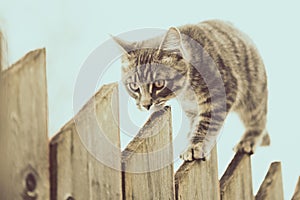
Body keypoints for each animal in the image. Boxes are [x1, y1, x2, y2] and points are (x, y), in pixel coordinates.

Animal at [112, 19, 270, 161]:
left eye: (159, 84)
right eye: (134, 86)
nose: (146, 105)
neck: (186, 92)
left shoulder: (223, 92)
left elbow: (206, 122)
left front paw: (195, 146)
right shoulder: (191, 108)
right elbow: (195, 122)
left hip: (253, 95)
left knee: (258, 120)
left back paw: (249, 139)